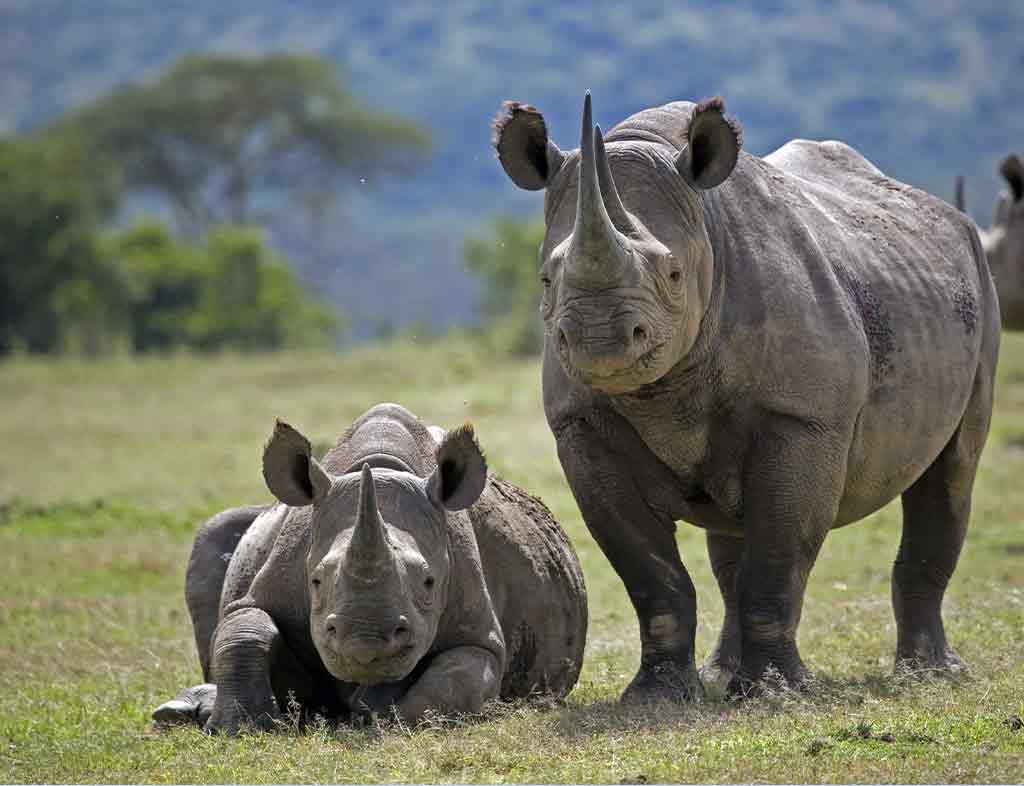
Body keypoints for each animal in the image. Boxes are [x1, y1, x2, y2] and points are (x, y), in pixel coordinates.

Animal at [150, 405, 585, 736]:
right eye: (315, 581)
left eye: (429, 582)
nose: (364, 644)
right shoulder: (271, 583)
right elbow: (244, 626)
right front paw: (238, 729)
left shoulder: (479, 630)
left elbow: (456, 676)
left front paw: (380, 717)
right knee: (215, 536)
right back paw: (181, 712)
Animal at [491, 92, 995, 700]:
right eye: (546, 280)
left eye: (674, 275)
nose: (599, 340)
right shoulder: (581, 427)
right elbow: (650, 573)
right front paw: (656, 695)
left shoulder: (803, 417)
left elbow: (776, 555)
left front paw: (777, 694)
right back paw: (721, 674)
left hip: (979, 284)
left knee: (952, 469)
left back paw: (932, 674)